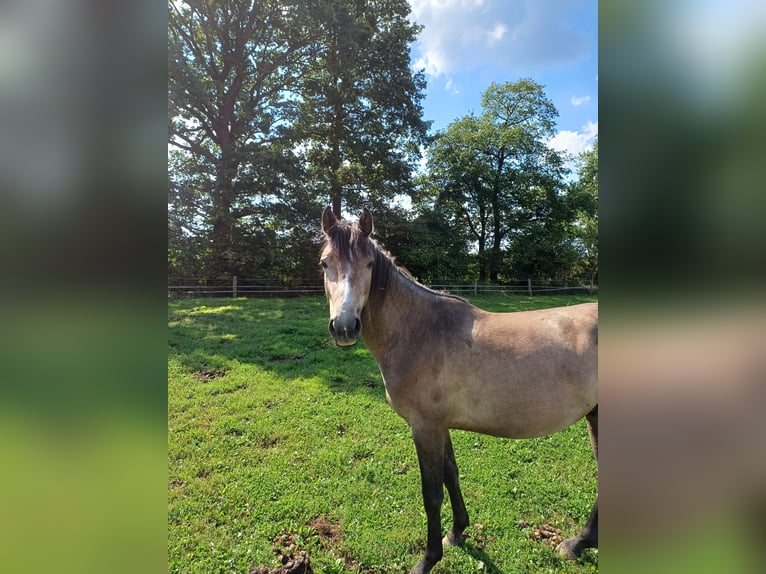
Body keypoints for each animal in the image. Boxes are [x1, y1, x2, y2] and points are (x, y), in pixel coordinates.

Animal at [320, 208, 596, 574]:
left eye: (368, 264)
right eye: (325, 263)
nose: (345, 327)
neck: (421, 332)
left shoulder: (425, 427)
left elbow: (432, 493)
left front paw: (428, 559)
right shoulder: (440, 426)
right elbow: (451, 474)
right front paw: (457, 532)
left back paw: (577, 543)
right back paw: (579, 543)